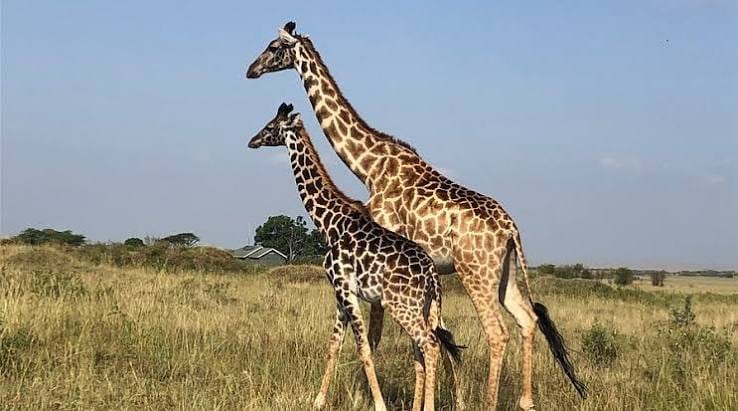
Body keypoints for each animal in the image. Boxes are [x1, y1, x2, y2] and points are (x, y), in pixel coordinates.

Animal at [247, 102, 464, 411]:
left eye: (269, 127)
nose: (252, 141)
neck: (329, 223)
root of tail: (432, 276)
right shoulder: (340, 293)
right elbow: (334, 345)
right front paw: (318, 400)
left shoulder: (345, 288)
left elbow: (363, 348)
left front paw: (379, 404)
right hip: (425, 308)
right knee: (423, 352)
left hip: (402, 306)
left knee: (430, 346)